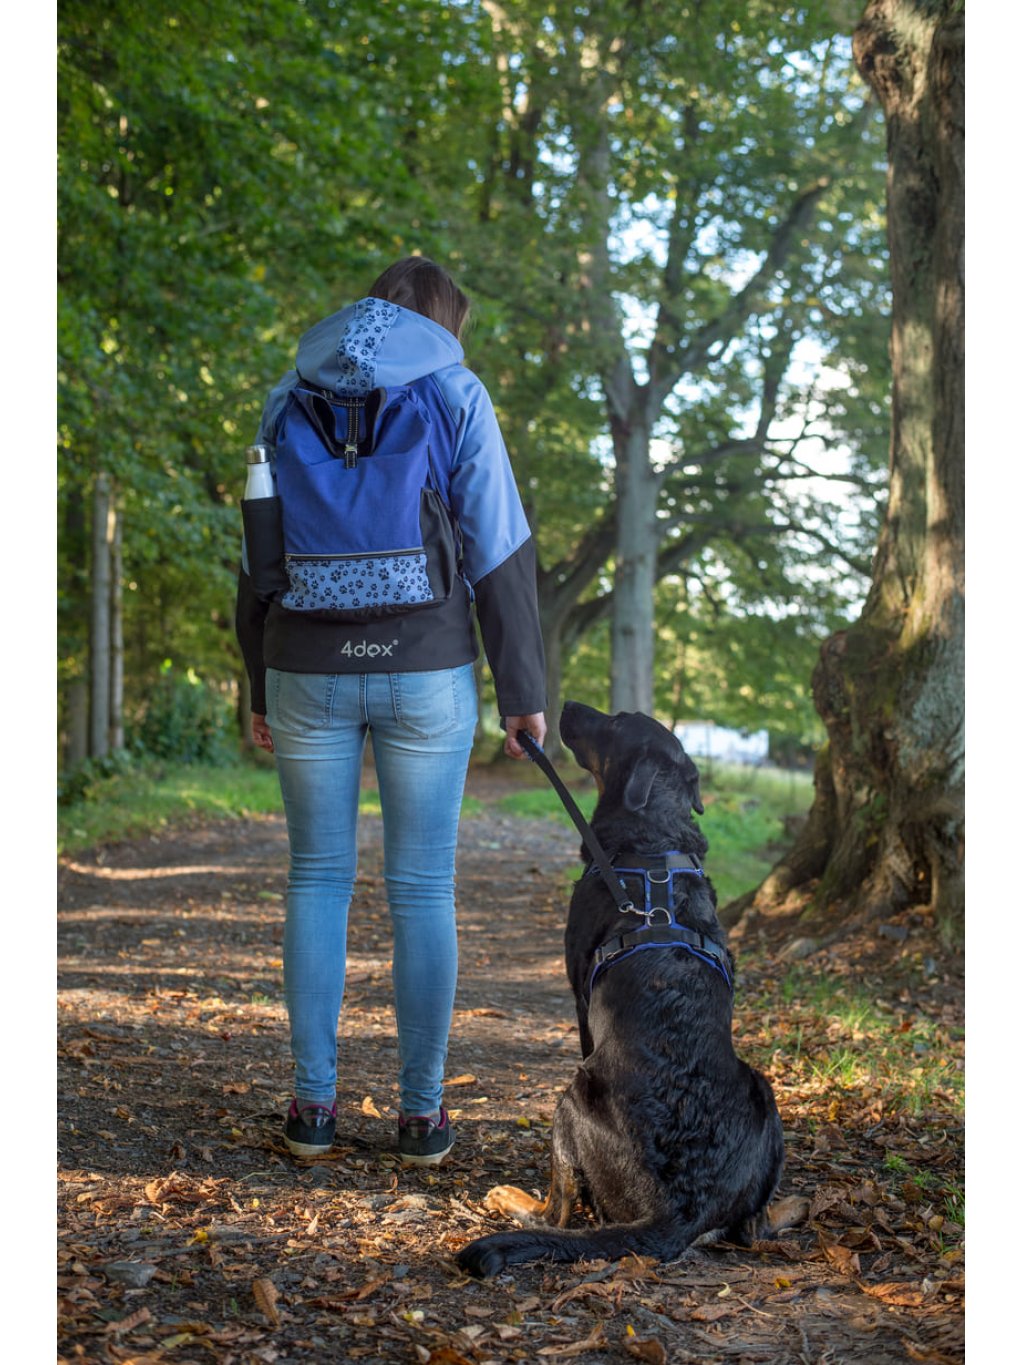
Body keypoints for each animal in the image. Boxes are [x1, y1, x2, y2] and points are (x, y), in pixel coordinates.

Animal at [456, 704, 786, 1277]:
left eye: (616, 720)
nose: (566, 707)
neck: (654, 844)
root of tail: (680, 1210)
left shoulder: (579, 996)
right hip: (764, 1094)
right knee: (753, 1229)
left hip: (573, 1097)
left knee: (559, 1210)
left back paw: (513, 1200)